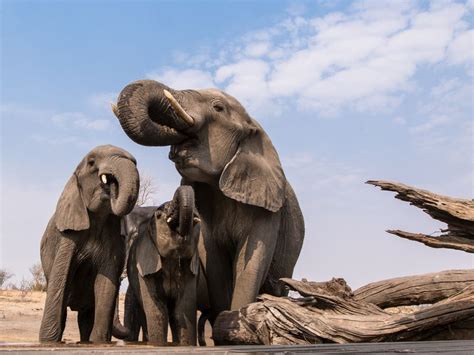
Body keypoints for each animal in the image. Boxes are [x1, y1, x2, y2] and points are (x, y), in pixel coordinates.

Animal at [39, 145, 140, 344]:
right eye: (92, 162)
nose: (112, 186)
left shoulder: (113, 238)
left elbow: (105, 281)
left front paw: (99, 342)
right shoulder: (67, 236)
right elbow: (60, 276)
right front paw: (47, 341)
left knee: (85, 315)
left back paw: (85, 341)